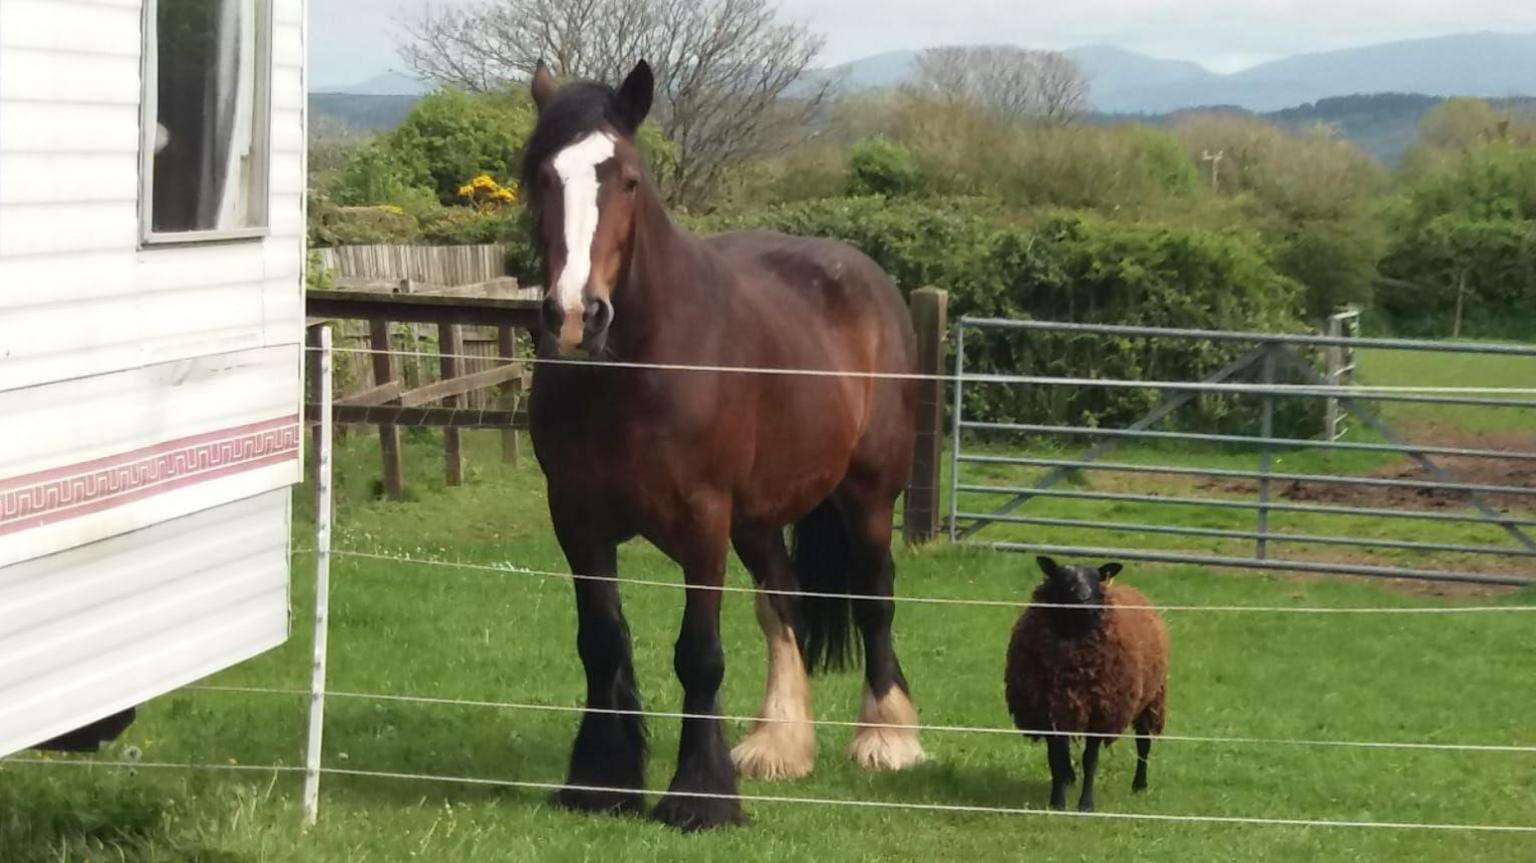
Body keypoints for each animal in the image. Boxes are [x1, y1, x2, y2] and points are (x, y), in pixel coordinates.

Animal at [522, 58, 921, 829]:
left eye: (628, 179)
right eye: (540, 177)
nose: (575, 315)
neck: (636, 369)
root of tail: (866, 275)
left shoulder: (703, 521)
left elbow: (699, 654)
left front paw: (700, 797)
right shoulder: (576, 521)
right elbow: (601, 644)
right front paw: (602, 780)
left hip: (867, 495)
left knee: (875, 596)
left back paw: (888, 737)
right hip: (760, 518)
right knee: (783, 601)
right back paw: (779, 743)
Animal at [1001, 552, 1167, 810]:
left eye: (1095, 578)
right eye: (1062, 577)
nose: (1083, 598)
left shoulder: (1100, 712)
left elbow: (1090, 760)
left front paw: (1086, 805)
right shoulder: (1049, 710)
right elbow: (1056, 758)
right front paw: (1057, 802)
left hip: (1151, 699)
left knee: (1144, 743)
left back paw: (1139, 784)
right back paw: (1070, 778)